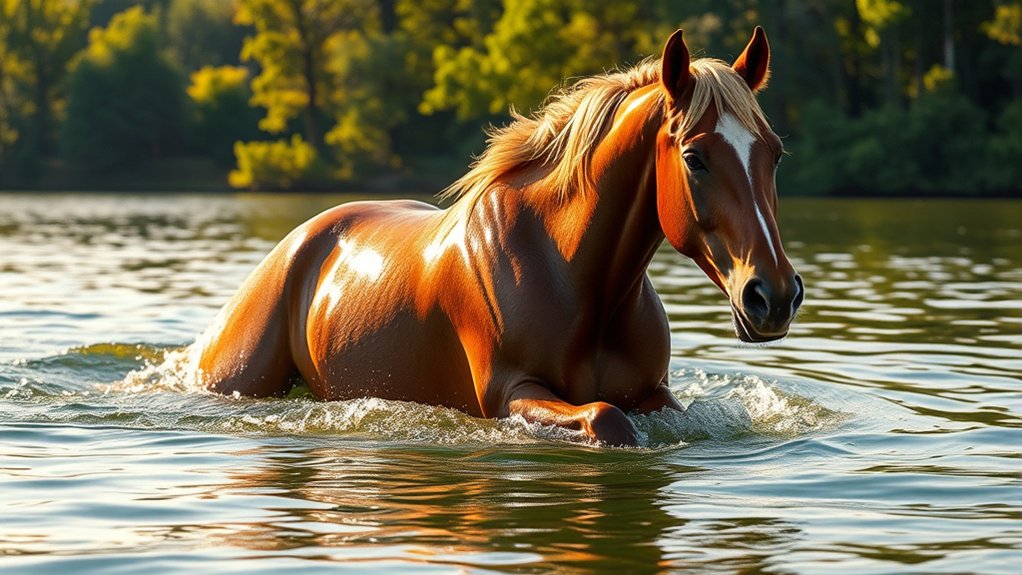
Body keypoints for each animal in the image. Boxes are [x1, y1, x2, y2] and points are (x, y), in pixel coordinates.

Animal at [191, 27, 803, 446]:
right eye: (694, 157)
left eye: (775, 153)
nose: (773, 296)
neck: (574, 276)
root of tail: (299, 244)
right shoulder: (512, 395)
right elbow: (608, 420)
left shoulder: (656, 395)